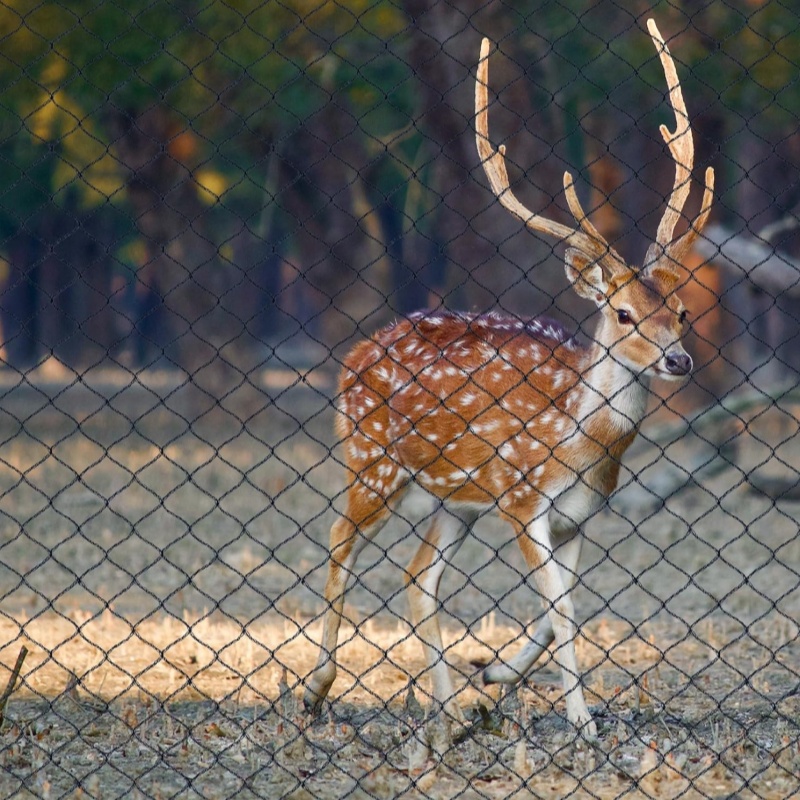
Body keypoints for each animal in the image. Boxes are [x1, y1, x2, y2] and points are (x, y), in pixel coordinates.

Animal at [304, 20, 712, 744]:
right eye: (623, 312)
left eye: (682, 312)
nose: (678, 361)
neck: (580, 446)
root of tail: (354, 355)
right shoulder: (521, 497)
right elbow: (562, 610)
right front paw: (581, 720)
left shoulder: (579, 515)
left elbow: (563, 606)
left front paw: (492, 679)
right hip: (373, 459)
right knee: (339, 540)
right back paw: (316, 691)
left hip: (454, 499)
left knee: (419, 578)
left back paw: (445, 716)